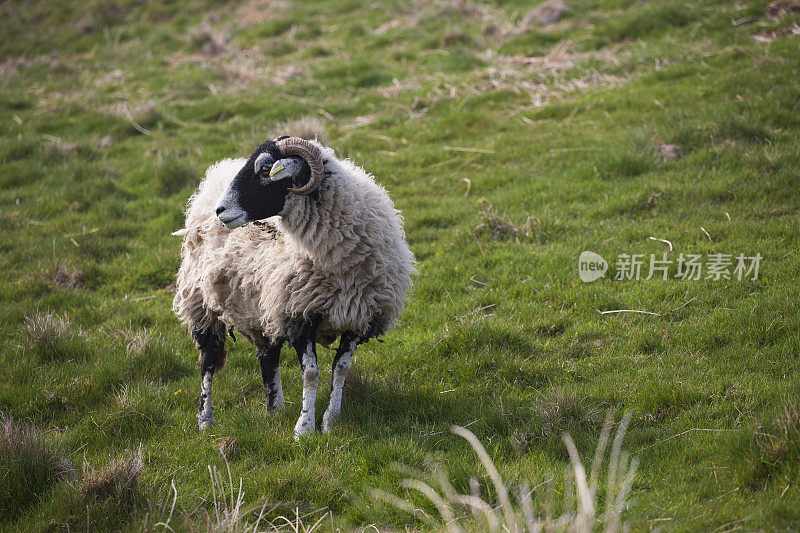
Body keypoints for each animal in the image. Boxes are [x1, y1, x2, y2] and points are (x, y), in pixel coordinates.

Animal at [173, 136, 416, 436]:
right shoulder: (299, 315)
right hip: (202, 306)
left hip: (260, 307)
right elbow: (311, 374)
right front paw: (304, 428)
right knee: (208, 361)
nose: (221, 211)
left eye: (266, 170)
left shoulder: (359, 317)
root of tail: (211, 181)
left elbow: (341, 370)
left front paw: (330, 421)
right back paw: (206, 420)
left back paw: (275, 409)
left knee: (268, 356)